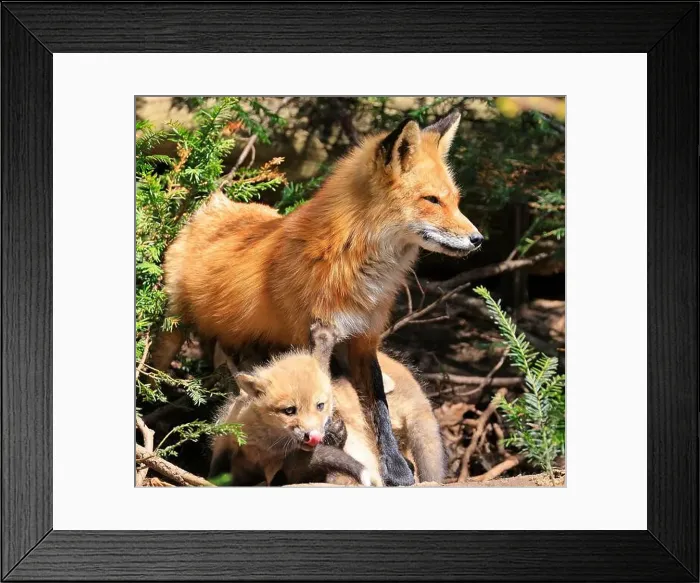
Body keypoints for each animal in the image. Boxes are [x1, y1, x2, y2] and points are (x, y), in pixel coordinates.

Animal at [154, 111, 482, 486]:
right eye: (432, 200)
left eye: (455, 201)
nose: (478, 239)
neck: (356, 267)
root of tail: (219, 204)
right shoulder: (310, 334)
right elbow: (324, 397)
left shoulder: (364, 339)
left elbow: (379, 409)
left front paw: (396, 468)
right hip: (172, 333)